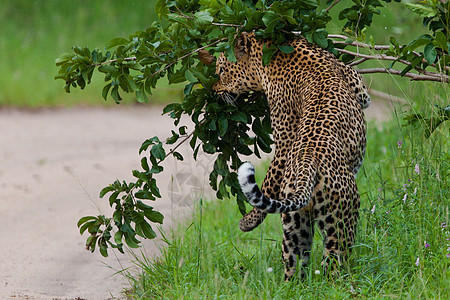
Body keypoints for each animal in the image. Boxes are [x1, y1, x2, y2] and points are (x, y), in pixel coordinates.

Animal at [213, 31, 370, 280]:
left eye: (220, 70)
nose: (213, 89)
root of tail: (307, 165)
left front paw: (248, 221)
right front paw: (248, 222)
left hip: (295, 225)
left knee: (294, 266)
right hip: (341, 219)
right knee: (333, 265)